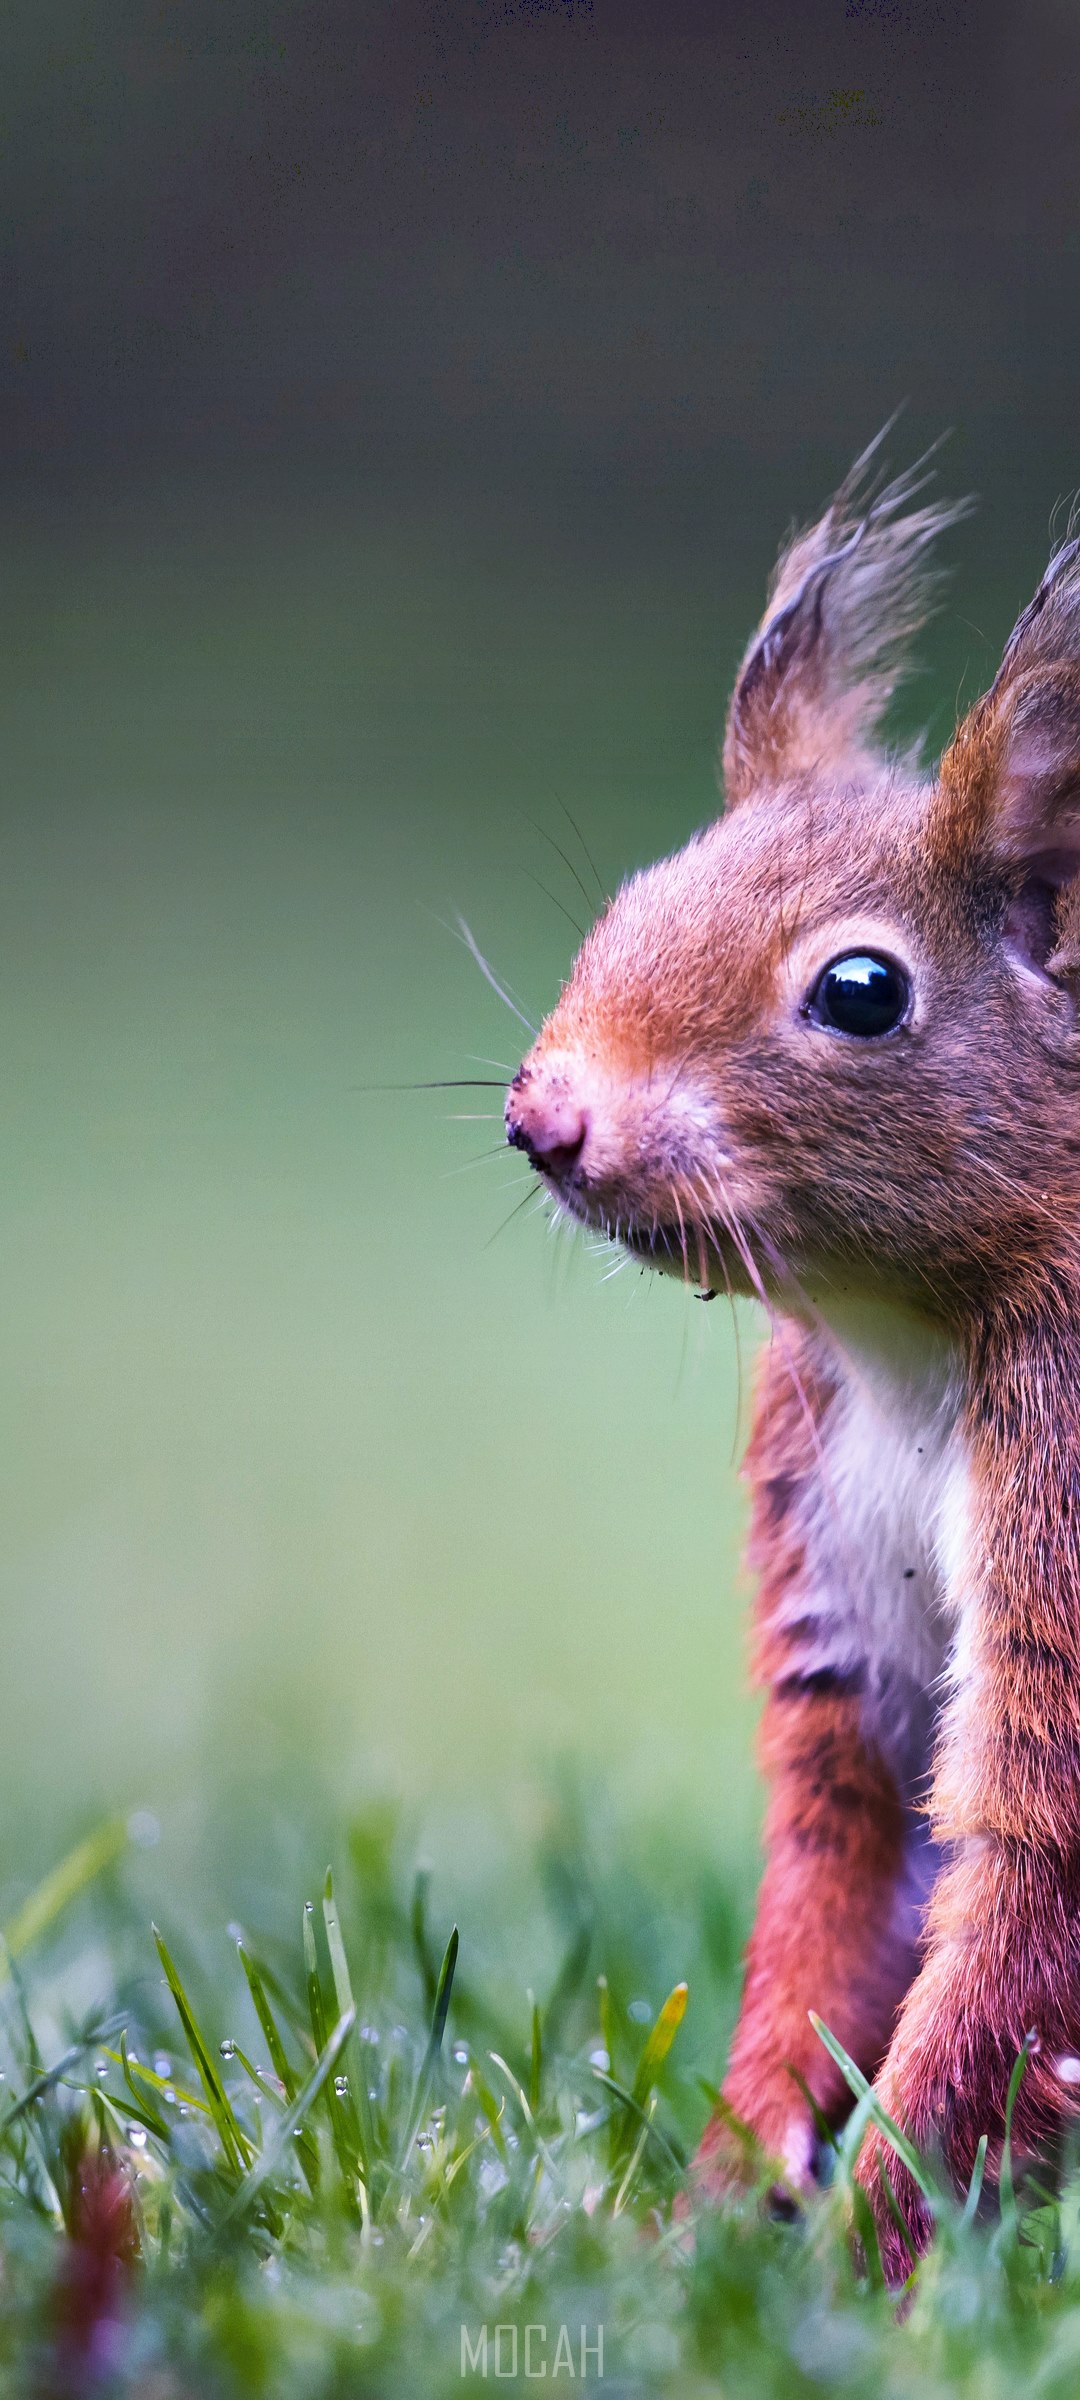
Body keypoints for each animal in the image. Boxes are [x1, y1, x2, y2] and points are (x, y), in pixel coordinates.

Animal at [502, 433, 1080, 2276]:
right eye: (635, 894)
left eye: (861, 990)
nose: (550, 1119)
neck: (905, 1343)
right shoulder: (835, 1567)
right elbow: (840, 1880)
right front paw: (710, 2213)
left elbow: (1024, 1908)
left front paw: (867, 2256)